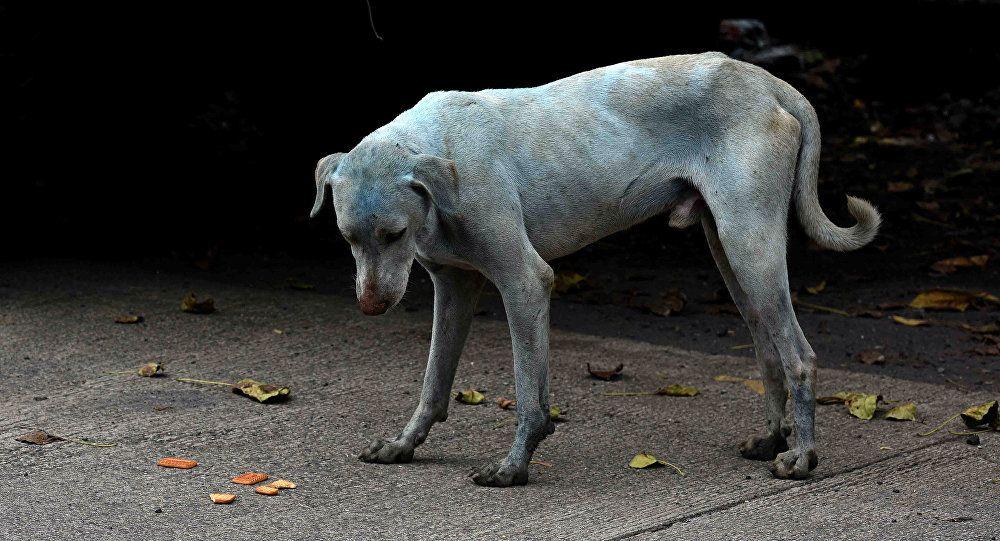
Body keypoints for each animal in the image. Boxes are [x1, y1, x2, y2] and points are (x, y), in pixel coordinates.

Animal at [308, 52, 880, 488]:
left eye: (395, 234)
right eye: (348, 238)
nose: (371, 307)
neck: (442, 149)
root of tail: (770, 83)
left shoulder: (525, 282)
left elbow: (529, 395)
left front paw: (514, 467)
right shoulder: (453, 288)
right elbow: (432, 383)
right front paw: (404, 444)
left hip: (750, 245)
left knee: (799, 356)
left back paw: (801, 458)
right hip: (733, 256)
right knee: (768, 351)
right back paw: (771, 439)